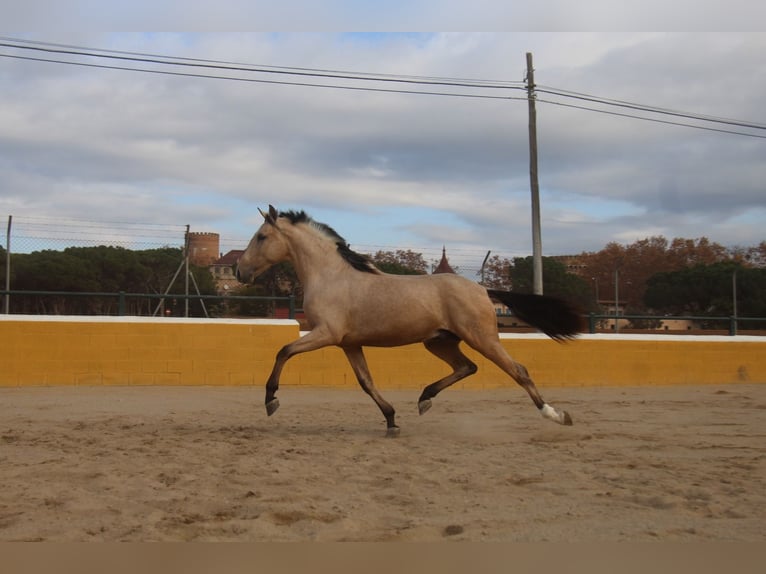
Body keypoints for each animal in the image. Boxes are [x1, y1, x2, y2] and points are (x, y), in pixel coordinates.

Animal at [237, 206, 584, 436]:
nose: (240, 271)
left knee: (518, 370)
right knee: (467, 367)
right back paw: (424, 399)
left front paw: (270, 400)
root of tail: (483, 289)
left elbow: (283, 351)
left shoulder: (326, 334)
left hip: (482, 338)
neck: (331, 276)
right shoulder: (349, 344)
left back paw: (556, 415)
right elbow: (366, 382)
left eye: (261, 236)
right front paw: (391, 419)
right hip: (439, 342)